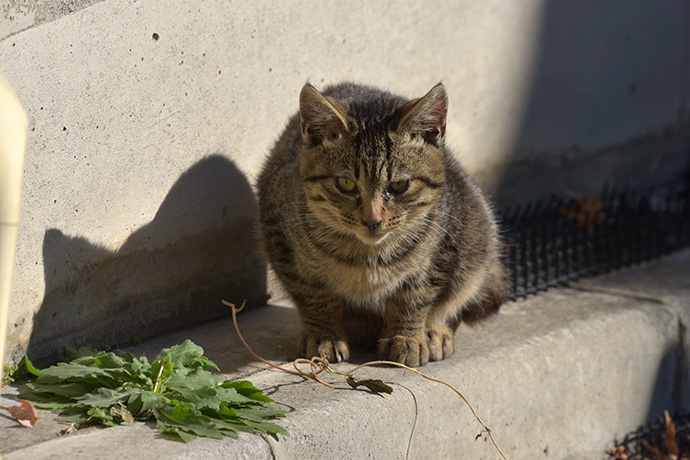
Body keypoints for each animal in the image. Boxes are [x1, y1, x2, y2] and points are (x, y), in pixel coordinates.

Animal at [255, 82, 502, 366]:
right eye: (346, 184)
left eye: (399, 185)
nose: (373, 220)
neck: (367, 256)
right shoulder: (280, 238)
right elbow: (315, 298)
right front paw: (324, 336)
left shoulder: (443, 249)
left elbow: (413, 300)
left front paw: (405, 338)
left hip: (478, 239)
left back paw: (434, 332)